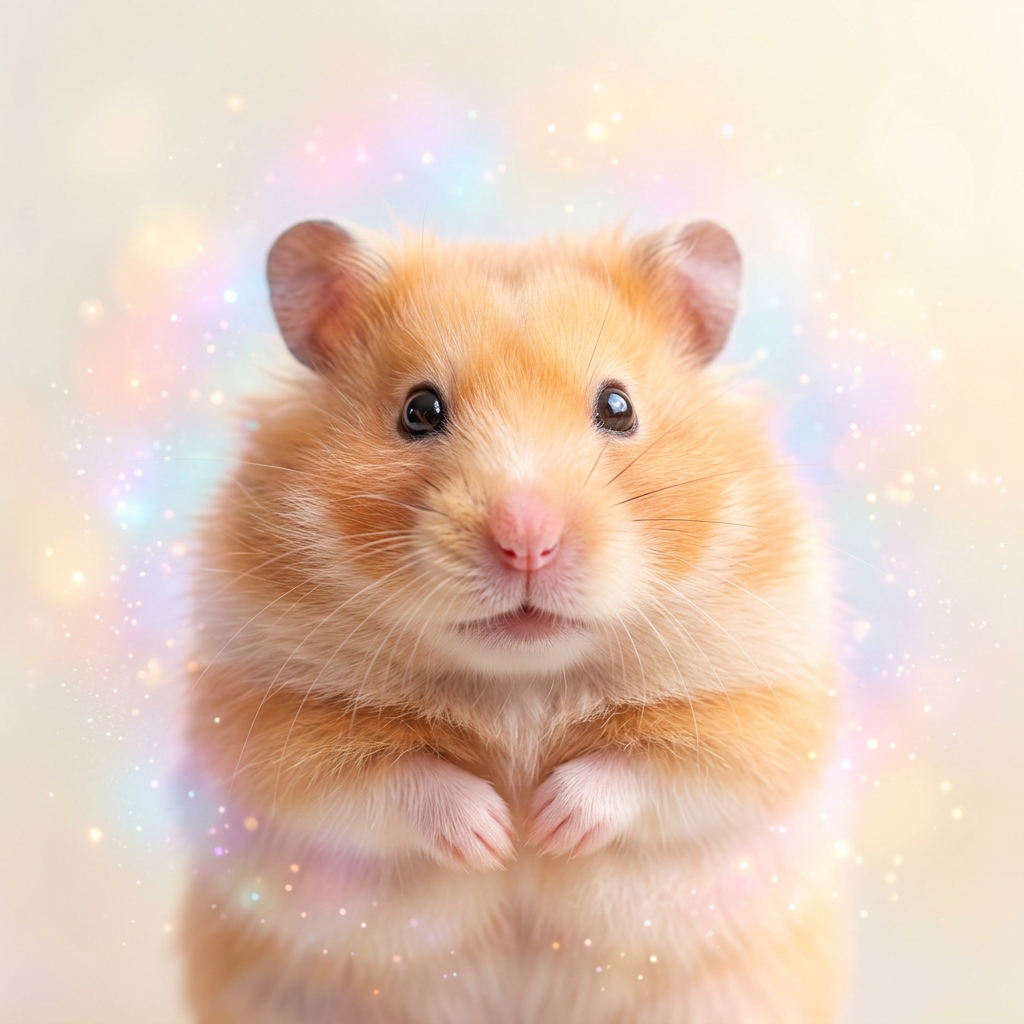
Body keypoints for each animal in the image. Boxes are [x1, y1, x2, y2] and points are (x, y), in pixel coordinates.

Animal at [180, 217, 842, 1024]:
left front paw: (547, 828)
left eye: (618, 406)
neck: (522, 681)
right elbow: (391, 780)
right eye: (419, 410)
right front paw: (497, 836)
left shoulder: (760, 712)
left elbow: (651, 769)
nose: (527, 541)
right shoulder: (267, 728)